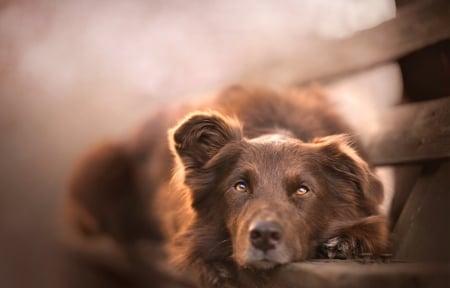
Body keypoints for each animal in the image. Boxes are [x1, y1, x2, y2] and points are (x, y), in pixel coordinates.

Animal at [68, 85, 388, 288]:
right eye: (240, 186)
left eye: (302, 190)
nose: (264, 237)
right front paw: (214, 268)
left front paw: (347, 240)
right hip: (101, 163)